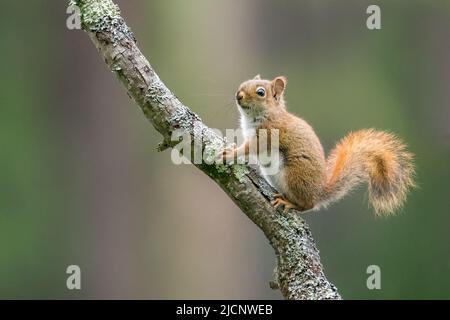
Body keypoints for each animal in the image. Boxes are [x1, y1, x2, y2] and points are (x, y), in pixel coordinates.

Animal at [221, 74, 414, 215]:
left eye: (261, 93)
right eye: (243, 83)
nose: (238, 95)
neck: (262, 116)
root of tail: (319, 192)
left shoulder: (269, 134)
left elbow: (251, 148)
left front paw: (231, 154)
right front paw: (233, 148)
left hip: (295, 175)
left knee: (308, 205)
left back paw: (290, 203)